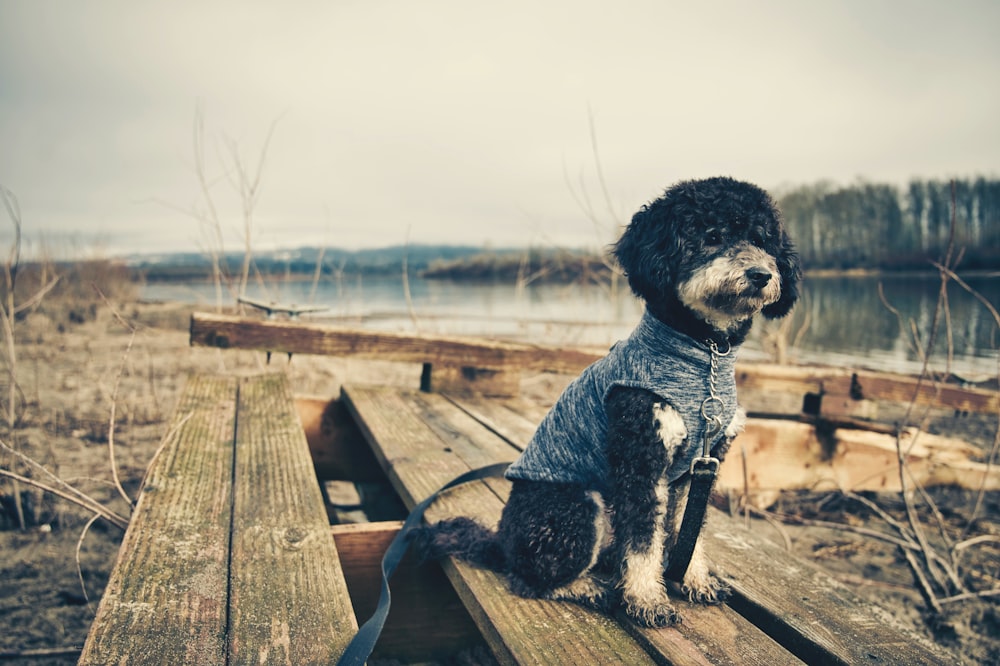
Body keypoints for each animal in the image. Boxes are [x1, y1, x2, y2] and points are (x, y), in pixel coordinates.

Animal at [418, 175, 800, 624]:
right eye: (712, 236)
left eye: (762, 241)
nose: (761, 274)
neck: (705, 354)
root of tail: (502, 542)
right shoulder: (641, 460)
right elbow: (643, 541)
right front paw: (648, 600)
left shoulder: (701, 467)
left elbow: (690, 529)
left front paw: (695, 580)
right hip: (577, 507)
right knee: (530, 579)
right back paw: (586, 586)